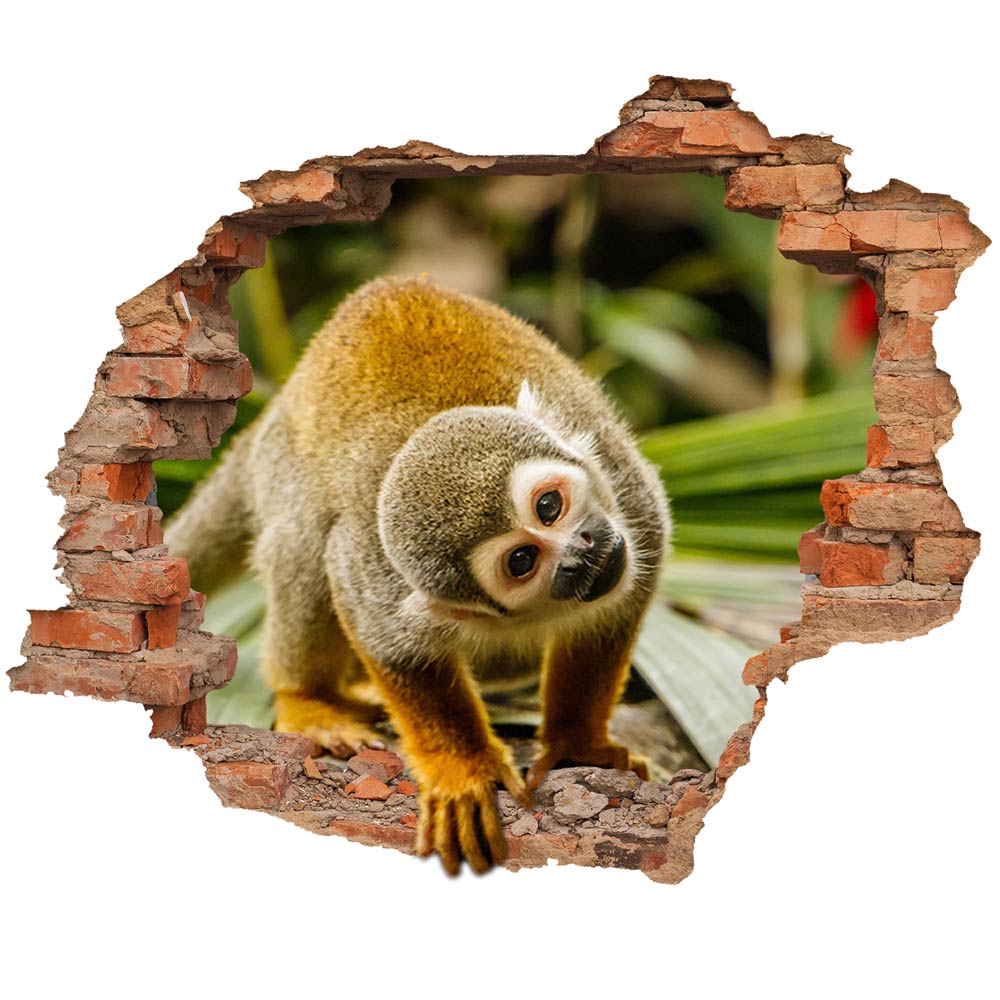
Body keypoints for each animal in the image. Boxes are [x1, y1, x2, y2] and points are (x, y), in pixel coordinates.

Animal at [166, 275, 671, 875]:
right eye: (522, 561)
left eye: (549, 506)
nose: (582, 550)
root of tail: (276, 409)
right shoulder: (378, 574)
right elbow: (394, 646)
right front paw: (462, 769)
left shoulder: (628, 496)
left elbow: (612, 610)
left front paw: (578, 741)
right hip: (282, 470)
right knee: (306, 542)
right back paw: (308, 699)